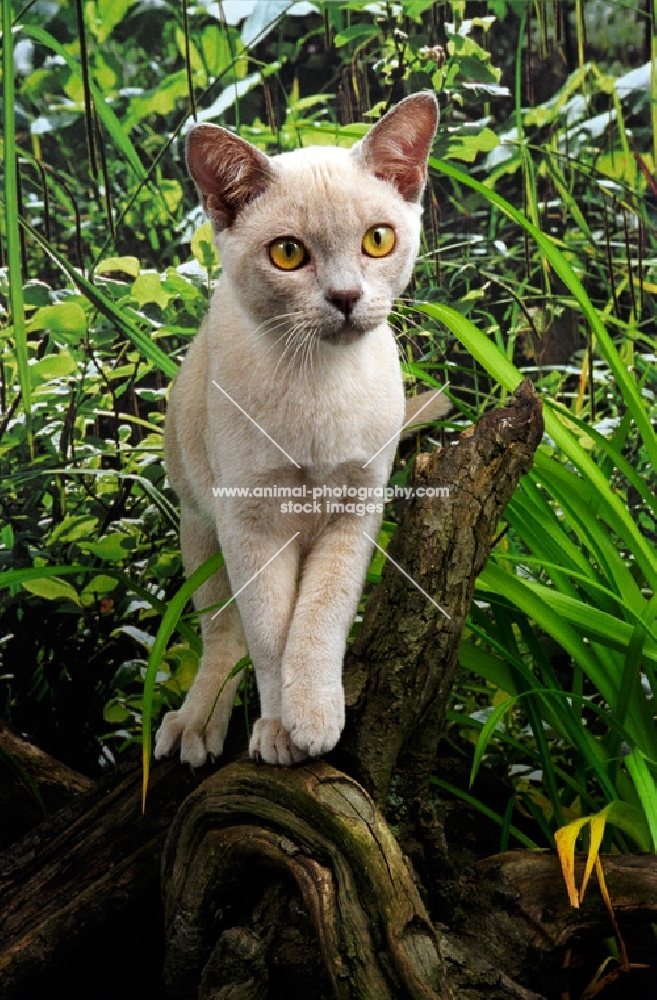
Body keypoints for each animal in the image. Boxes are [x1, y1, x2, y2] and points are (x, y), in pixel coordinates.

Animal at [156, 92, 448, 764]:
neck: (319, 382)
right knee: (223, 635)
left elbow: (319, 619)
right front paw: (280, 732)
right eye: (288, 254)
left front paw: (314, 717)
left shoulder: (356, 510)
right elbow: (268, 633)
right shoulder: (251, 520)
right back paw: (196, 725)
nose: (345, 297)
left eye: (377, 240)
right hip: (200, 528)